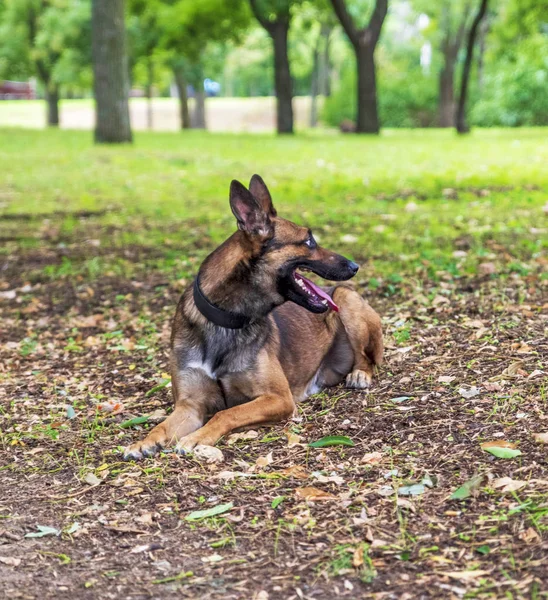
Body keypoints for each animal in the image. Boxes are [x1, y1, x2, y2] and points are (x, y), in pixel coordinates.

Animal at [124, 175, 384, 460]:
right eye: (309, 241)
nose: (354, 266)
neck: (225, 322)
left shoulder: (278, 398)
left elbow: (228, 413)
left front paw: (198, 437)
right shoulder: (190, 406)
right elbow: (163, 425)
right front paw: (144, 441)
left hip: (347, 300)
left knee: (368, 358)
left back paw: (360, 374)